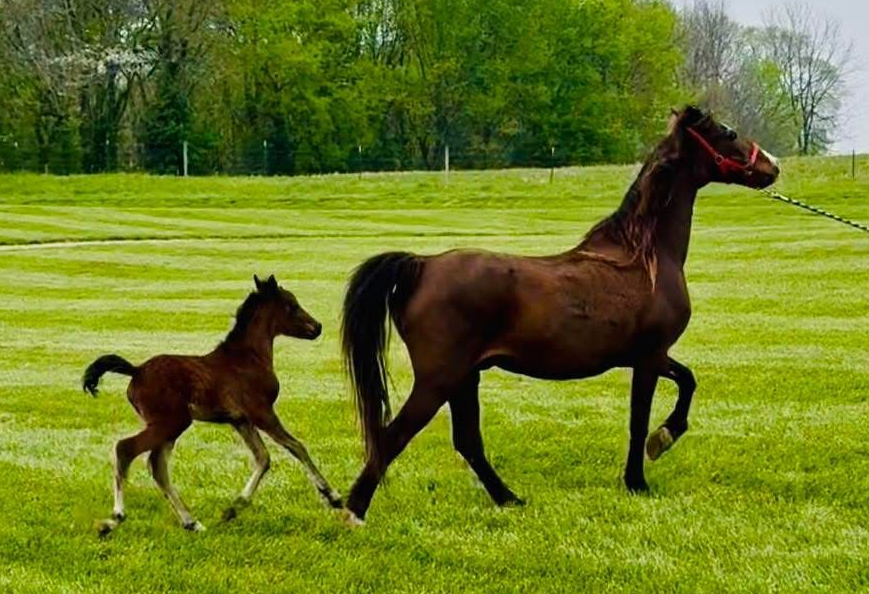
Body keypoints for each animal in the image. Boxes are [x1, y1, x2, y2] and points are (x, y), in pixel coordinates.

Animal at [82, 274, 342, 534]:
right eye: (292, 305)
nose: (317, 327)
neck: (249, 357)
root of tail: (136, 370)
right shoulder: (261, 412)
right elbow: (296, 446)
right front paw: (333, 497)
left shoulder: (240, 420)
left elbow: (263, 458)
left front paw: (233, 508)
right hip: (171, 422)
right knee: (126, 449)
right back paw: (115, 518)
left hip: (169, 427)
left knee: (157, 467)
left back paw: (192, 522)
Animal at [340, 106, 781, 524]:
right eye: (728, 133)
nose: (772, 166)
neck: (646, 255)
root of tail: (422, 265)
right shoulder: (649, 357)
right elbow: (640, 420)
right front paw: (640, 477)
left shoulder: (650, 355)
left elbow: (688, 380)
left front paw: (663, 439)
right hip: (440, 379)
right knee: (393, 437)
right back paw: (354, 512)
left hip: (464, 377)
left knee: (467, 442)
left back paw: (509, 498)